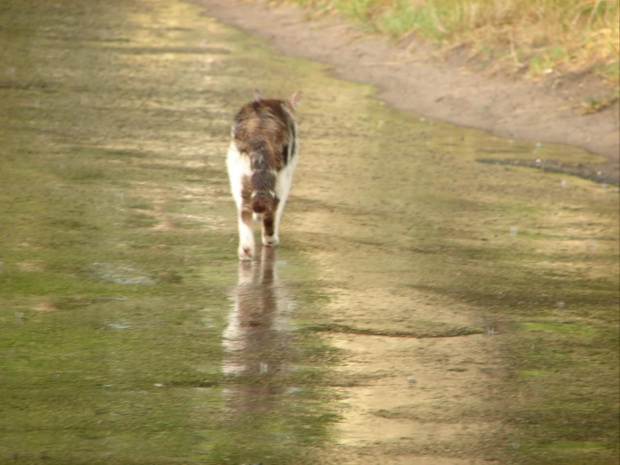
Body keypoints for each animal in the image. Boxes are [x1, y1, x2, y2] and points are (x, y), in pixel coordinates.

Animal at [226, 89, 302, 260]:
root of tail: (259, 130)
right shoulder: (287, 175)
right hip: (280, 177)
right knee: (271, 209)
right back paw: (270, 239)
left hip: (238, 174)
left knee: (245, 209)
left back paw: (246, 250)